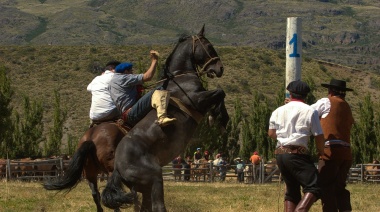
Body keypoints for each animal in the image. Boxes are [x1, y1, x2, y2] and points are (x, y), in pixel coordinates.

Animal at [99, 25, 229, 211]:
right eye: (209, 46)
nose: (220, 68)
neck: (180, 78)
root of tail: (117, 168)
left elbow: (219, 95)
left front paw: (216, 118)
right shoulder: (197, 100)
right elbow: (220, 92)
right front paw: (220, 120)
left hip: (144, 188)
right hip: (155, 179)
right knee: (158, 206)